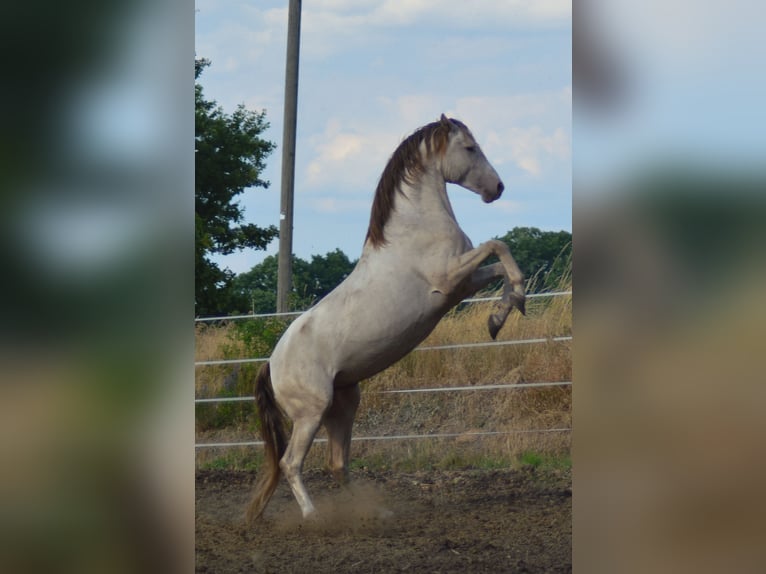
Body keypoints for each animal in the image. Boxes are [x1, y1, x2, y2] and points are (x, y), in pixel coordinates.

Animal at [249, 115, 524, 524]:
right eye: (470, 148)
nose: (498, 188)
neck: (414, 228)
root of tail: (271, 364)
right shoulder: (449, 279)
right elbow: (498, 246)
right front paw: (515, 300)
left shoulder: (463, 283)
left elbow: (500, 266)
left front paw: (500, 317)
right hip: (310, 413)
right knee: (290, 463)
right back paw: (314, 517)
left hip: (344, 404)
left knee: (337, 464)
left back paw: (375, 514)